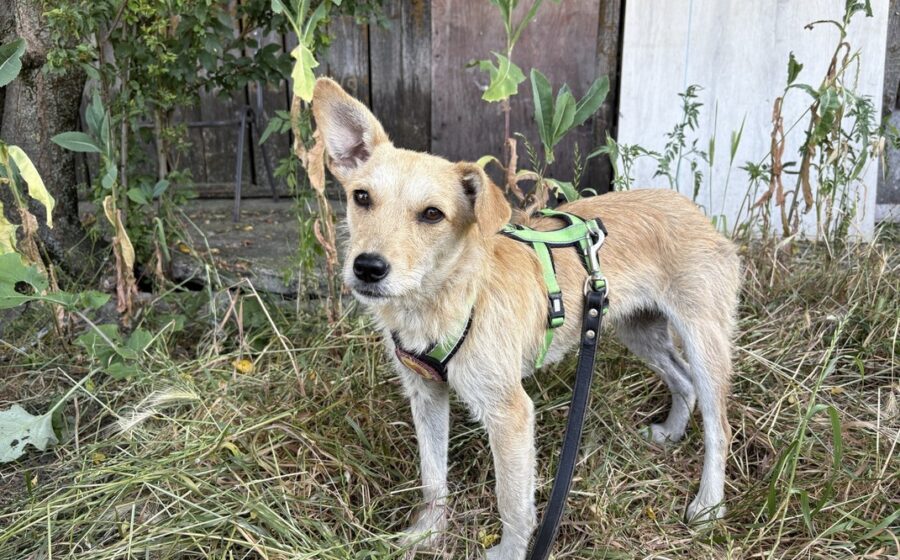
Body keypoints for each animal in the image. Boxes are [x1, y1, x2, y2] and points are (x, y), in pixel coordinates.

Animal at [312, 77, 740, 560]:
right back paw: (671, 433)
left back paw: (708, 506)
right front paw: (429, 532)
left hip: (704, 343)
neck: (450, 296)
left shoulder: (510, 413)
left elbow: (513, 502)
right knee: (682, 381)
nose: (367, 267)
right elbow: (433, 476)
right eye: (361, 197)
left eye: (432, 214)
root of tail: (691, 208)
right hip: (640, 331)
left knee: (720, 427)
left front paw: (509, 552)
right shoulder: (426, 394)